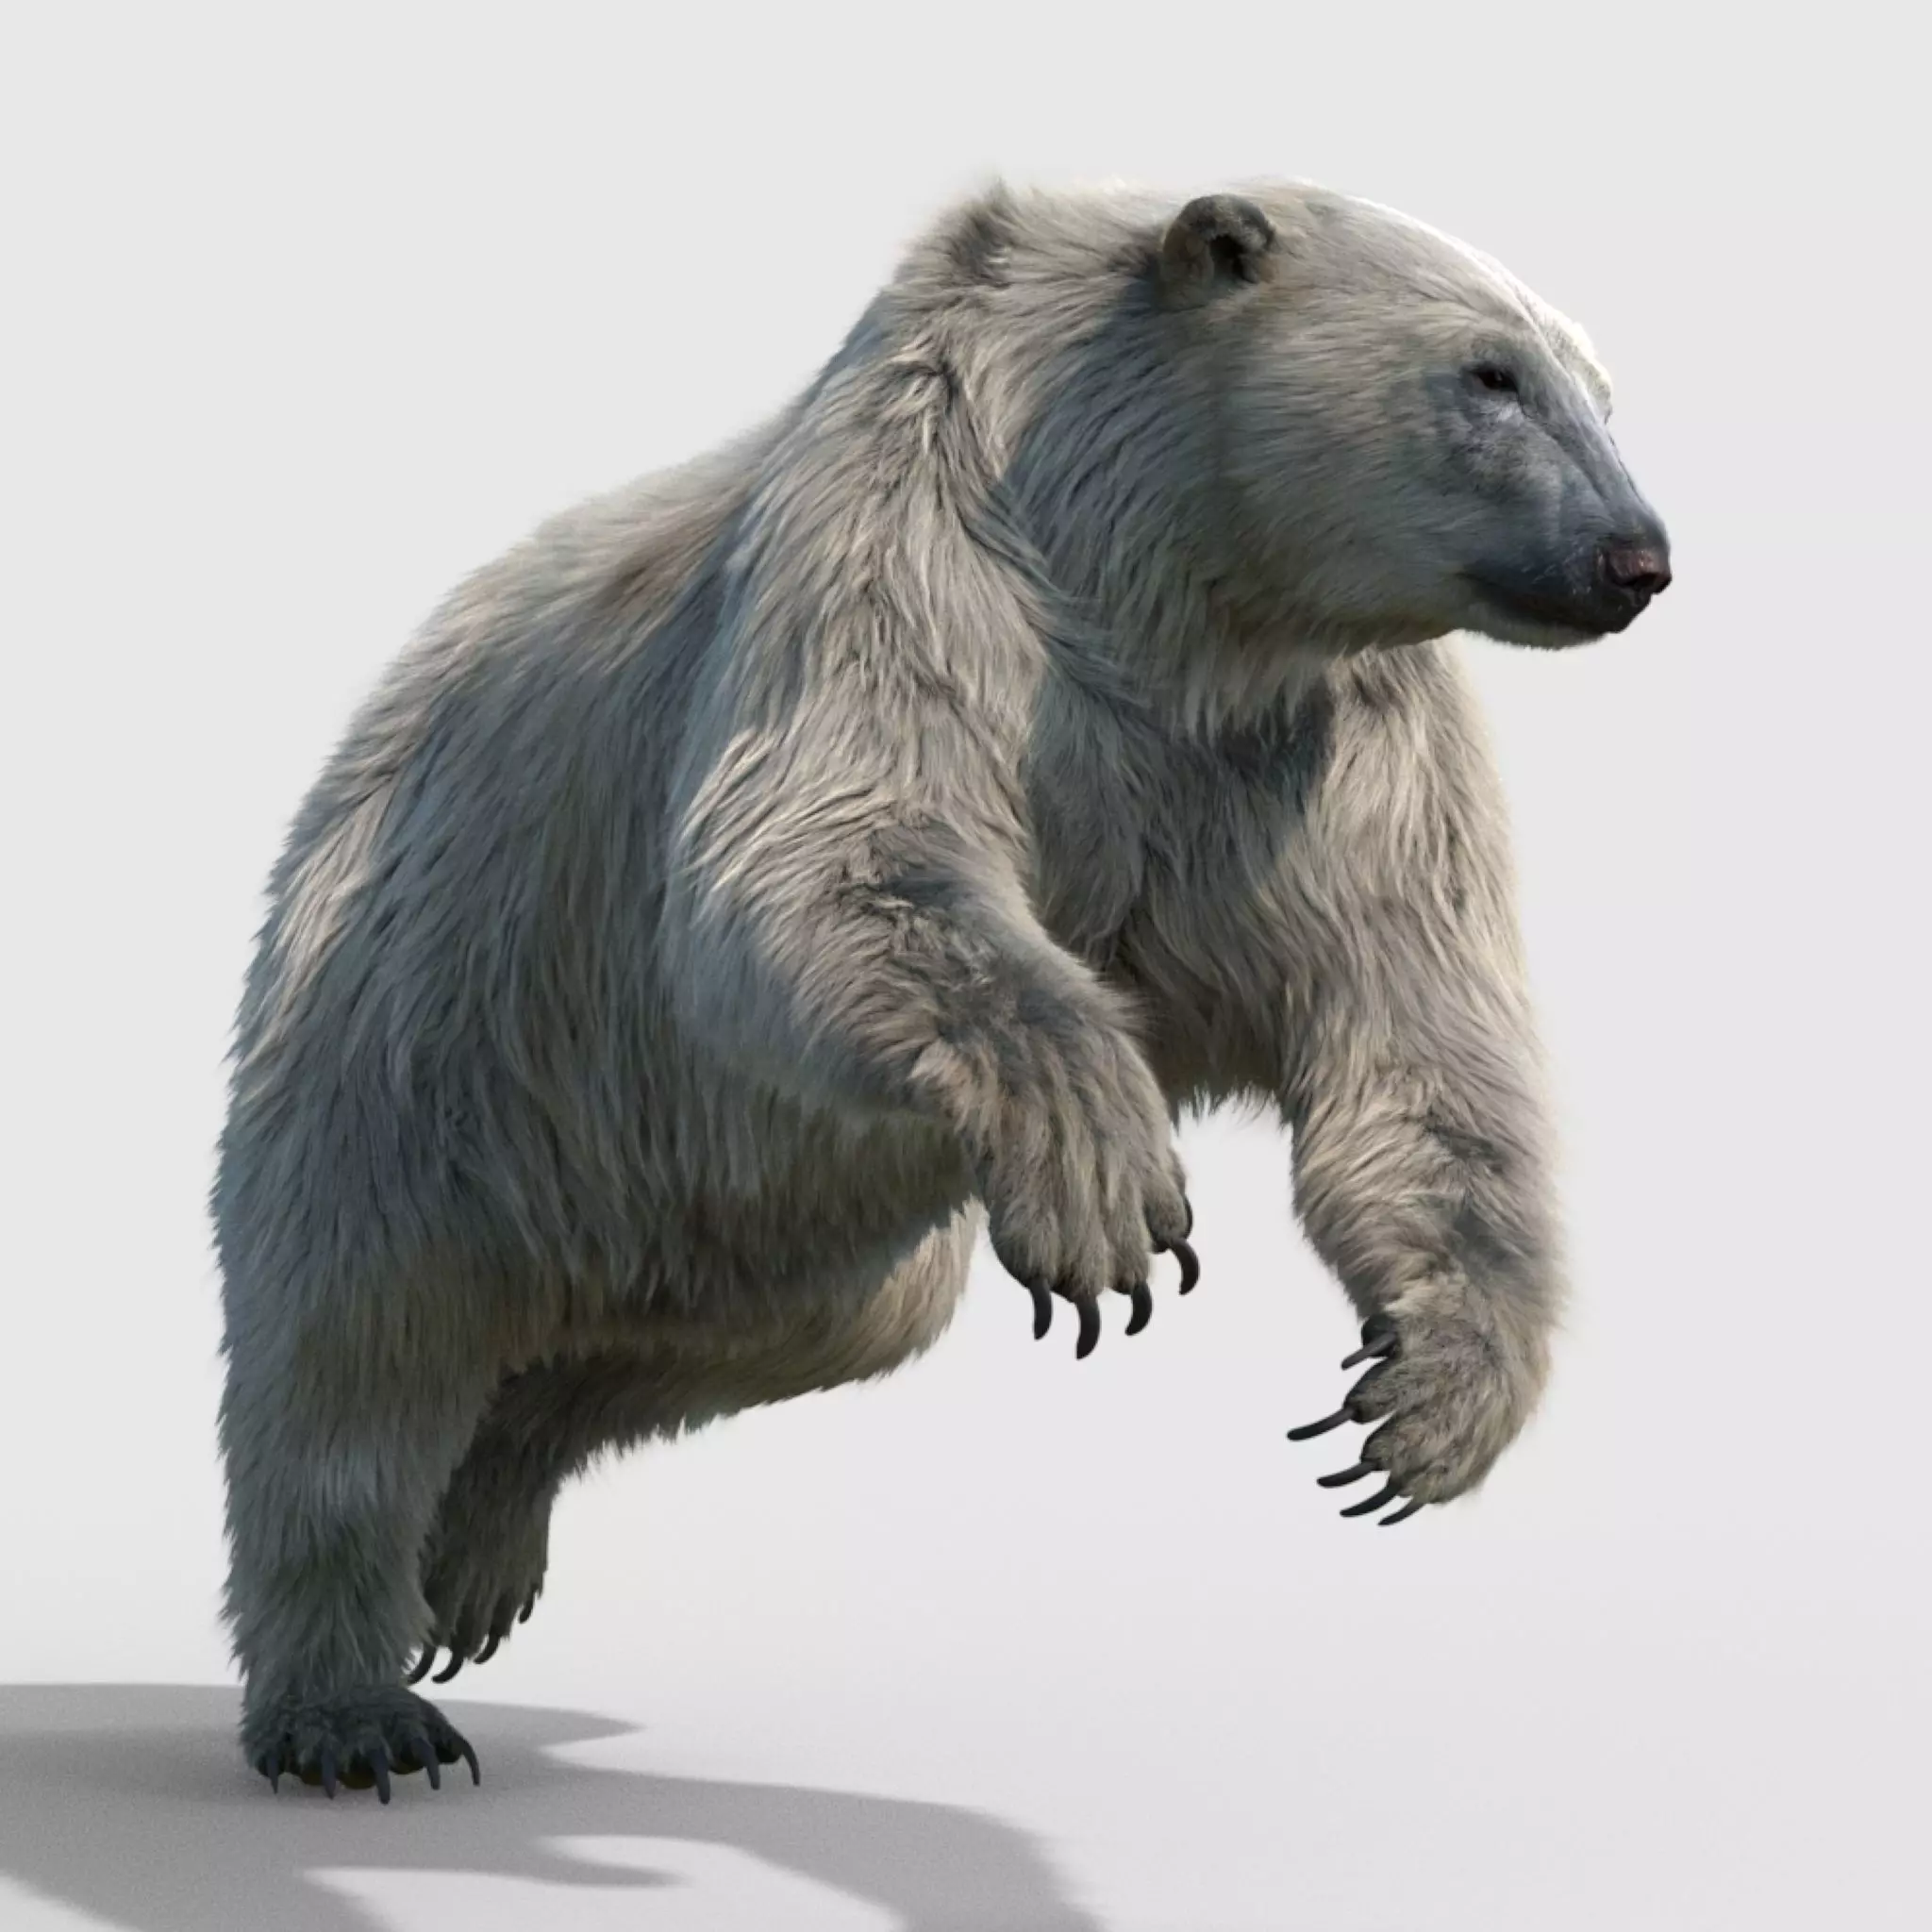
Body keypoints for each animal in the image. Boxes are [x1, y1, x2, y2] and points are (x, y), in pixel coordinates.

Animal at [213, 177, 1671, 1799]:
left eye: (1603, 391)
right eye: (1491, 375)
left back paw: (483, 1534)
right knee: (354, 1361)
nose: (1637, 557)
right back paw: (358, 1708)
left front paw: (1426, 1402)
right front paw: (1111, 1187)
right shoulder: (918, 541)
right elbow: (834, 854)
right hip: (424, 1030)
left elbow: (1415, 1042)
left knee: (745, 1334)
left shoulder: (1329, 748)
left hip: (779, 1216)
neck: (1164, 582)